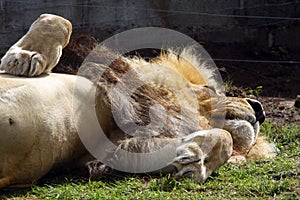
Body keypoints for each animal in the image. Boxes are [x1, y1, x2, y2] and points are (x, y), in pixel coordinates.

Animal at [0, 14, 276, 189]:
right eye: (208, 88)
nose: (260, 108)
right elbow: (59, 20)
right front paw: (24, 56)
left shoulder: (104, 151)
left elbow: (224, 139)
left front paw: (194, 159)